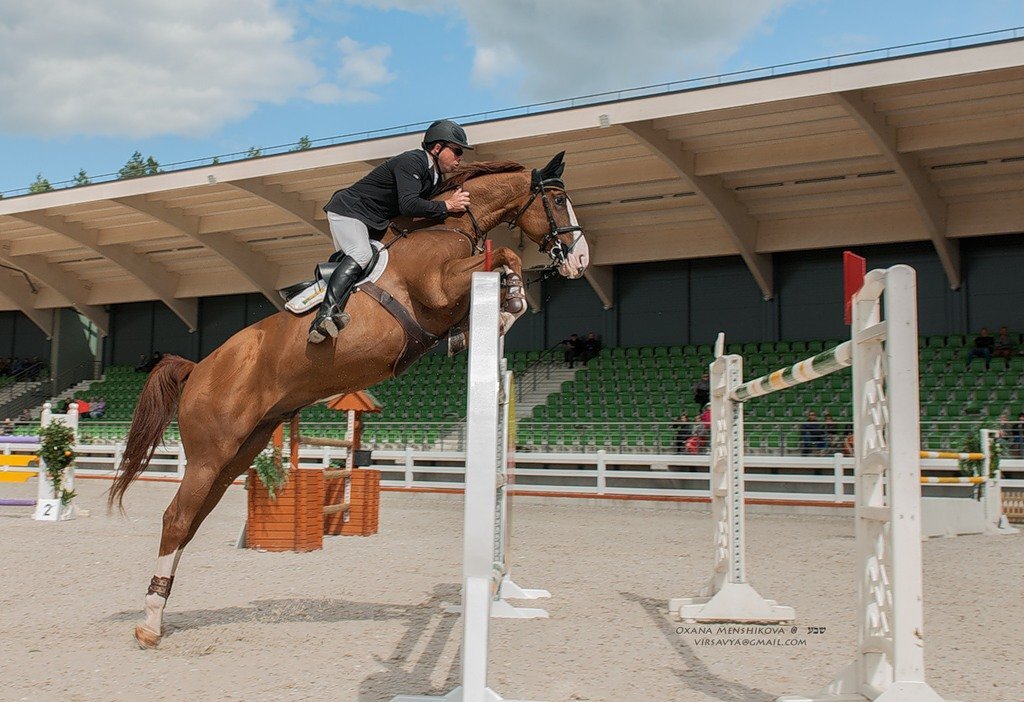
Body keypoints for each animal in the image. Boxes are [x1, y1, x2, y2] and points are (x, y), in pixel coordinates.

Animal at [108, 152, 589, 650]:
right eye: (558, 200)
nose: (580, 258)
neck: (450, 227)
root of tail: (198, 368)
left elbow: (498, 268)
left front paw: (503, 309)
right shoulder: (439, 288)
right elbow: (505, 256)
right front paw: (510, 301)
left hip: (236, 455)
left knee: (191, 521)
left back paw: (160, 608)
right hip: (209, 454)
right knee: (176, 518)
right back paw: (150, 623)